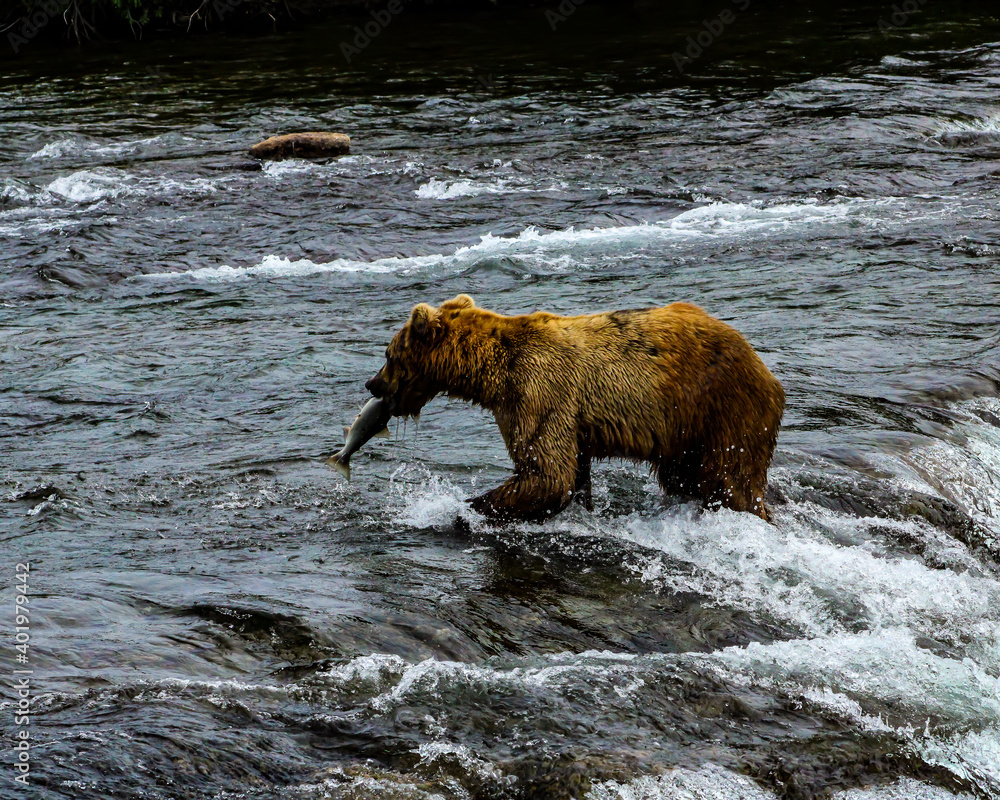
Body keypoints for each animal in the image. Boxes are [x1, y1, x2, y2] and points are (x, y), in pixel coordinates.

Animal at [364, 296, 784, 520]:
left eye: (388, 354)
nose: (372, 384)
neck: (491, 371)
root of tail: (765, 368)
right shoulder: (569, 419)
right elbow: (572, 472)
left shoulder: (537, 392)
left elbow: (546, 473)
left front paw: (466, 506)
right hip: (686, 432)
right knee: (685, 478)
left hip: (723, 410)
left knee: (732, 480)